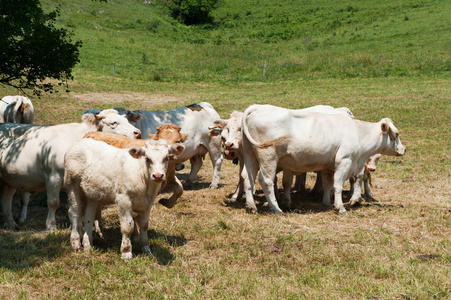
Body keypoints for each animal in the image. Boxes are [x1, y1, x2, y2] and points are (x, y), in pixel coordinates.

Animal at [0, 109, 141, 230]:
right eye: (114, 123)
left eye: (127, 120)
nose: (138, 133)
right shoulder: (53, 175)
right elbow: (53, 202)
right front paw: (51, 227)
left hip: (9, 180)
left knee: (6, 201)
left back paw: (12, 225)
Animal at [242, 104, 408, 214]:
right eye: (396, 134)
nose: (403, 149)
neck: (357, 132)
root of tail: (256, 107)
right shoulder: (344, 161)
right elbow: (338, 185)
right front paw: (340, 207)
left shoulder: (328, 167)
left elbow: (328, 185)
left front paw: (327, 203)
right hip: (268, 157)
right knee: (266, 181)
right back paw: (276, 208)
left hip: (250, 156)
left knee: (248, 179)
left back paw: (251, 206)